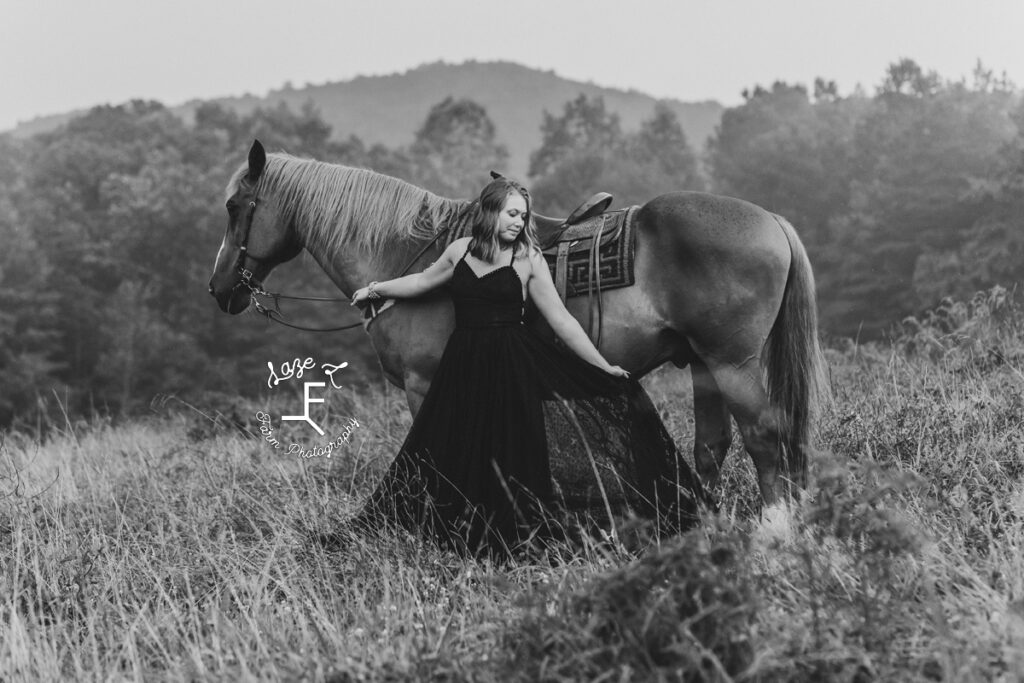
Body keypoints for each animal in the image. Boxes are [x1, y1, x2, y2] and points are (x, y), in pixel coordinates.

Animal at [209, 141, 831, 507]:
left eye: (236, 207)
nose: (220, 290)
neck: (404, 255)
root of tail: (770, 219)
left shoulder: (424, 384)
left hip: (732, 364)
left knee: (765, 438)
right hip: (703, 366)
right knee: (713, 447)